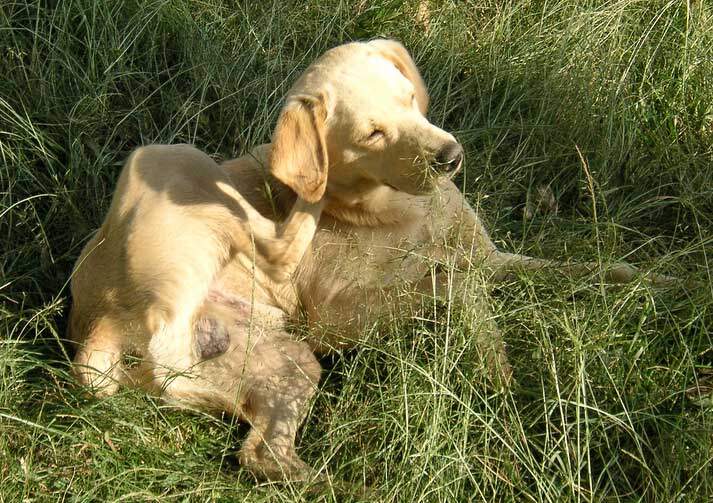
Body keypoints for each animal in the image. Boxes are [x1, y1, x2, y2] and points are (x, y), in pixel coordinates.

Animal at [69, 39, 672, 480]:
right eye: (372, 134)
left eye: (409, 100)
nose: (452, 157)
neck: (402, 210)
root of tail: (99, 329)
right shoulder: (336, 321)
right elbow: (456, 288)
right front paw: (495, 365)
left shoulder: (493, 258)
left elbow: (577, 270)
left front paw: (657, 279)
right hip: (172, 161)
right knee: (276, 248)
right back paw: (305, 198)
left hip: (287, 363)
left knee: (263, 454)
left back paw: (338, 484)